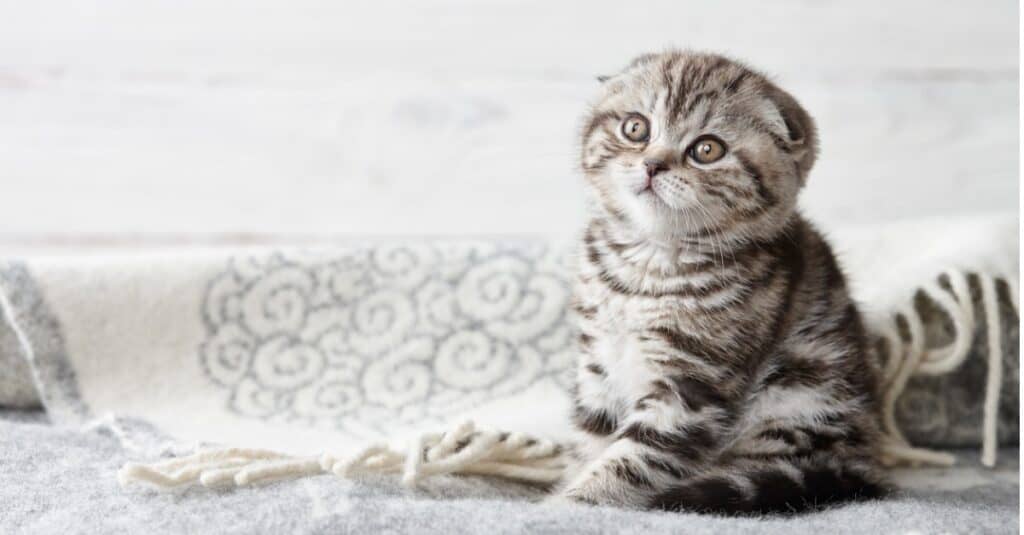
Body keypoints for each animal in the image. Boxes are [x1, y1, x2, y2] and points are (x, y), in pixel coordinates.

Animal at [557, 50, 884, 512]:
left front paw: (574, 503)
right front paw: (571, 481)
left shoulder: (692, 384)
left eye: (707, 149)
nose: (652, 164)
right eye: (636, 128)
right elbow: (590, 441)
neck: (648, 263)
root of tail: (861, 455)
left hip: (800, 394)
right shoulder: (598, 364)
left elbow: (633, 460)